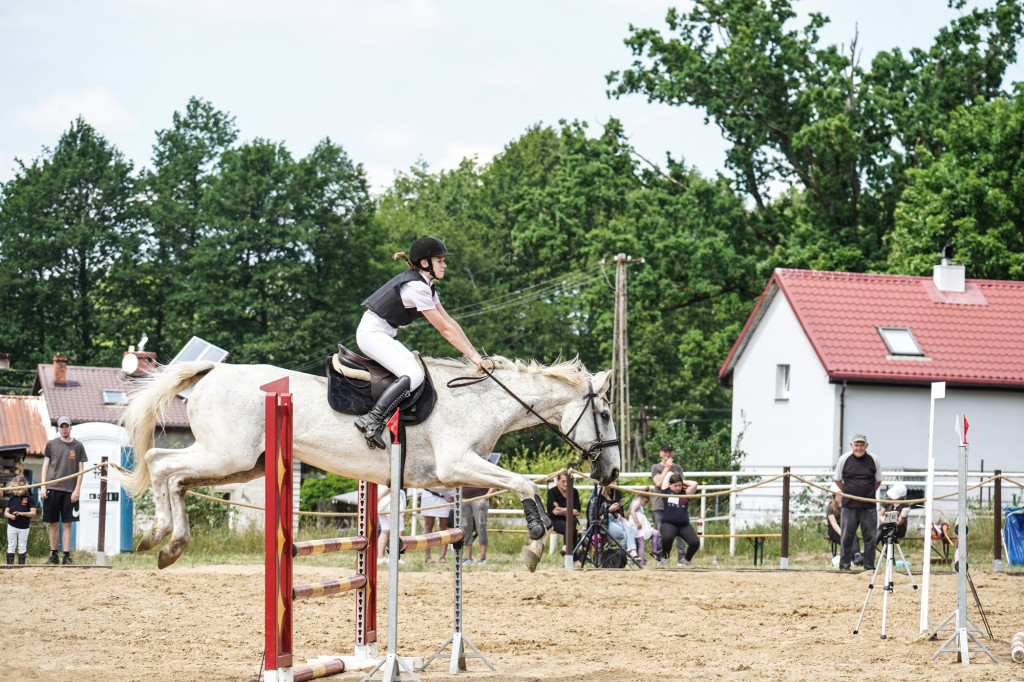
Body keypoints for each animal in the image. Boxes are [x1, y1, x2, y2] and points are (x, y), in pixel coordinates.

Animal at [118, 356, 614, 569]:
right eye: (606, 415)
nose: (609, 473)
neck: (480, 401)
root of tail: (211, 371)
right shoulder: (456, 466)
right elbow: (524, 485)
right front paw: (534, 545)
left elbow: (516, 485)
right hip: (228, 455)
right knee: (160, 464)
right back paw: (159, 535)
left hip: (245, 464)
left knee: (173, 474)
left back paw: (168, 544)